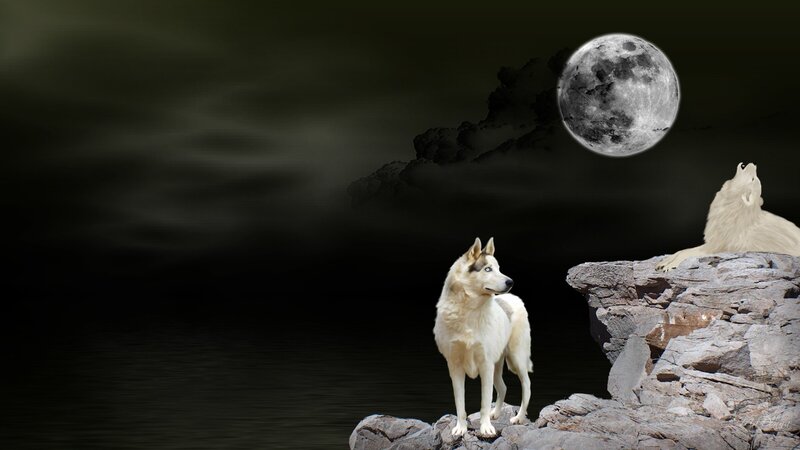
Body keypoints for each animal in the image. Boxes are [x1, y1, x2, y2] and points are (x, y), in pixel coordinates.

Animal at [433, 237, 533, 437]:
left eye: (498, 268)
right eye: (487, 269)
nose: (510, 281)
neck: (468, 312)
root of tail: (514, 298)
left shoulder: (485, 365)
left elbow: (484, 402)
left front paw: (486, 428)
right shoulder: (454, 366)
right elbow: (460, 403)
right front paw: (460, 428)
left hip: (516, 359)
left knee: (527, 386)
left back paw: (518, 418)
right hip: (498, 365)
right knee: (503, 387)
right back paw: (496, 414)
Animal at [657, 162, 800, 271]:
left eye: (753, 179)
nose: (754, 164)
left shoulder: (714, 248)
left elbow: (686, 254)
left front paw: (670, 266)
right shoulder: (710, 243)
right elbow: (681, 251)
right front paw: (664, 262)